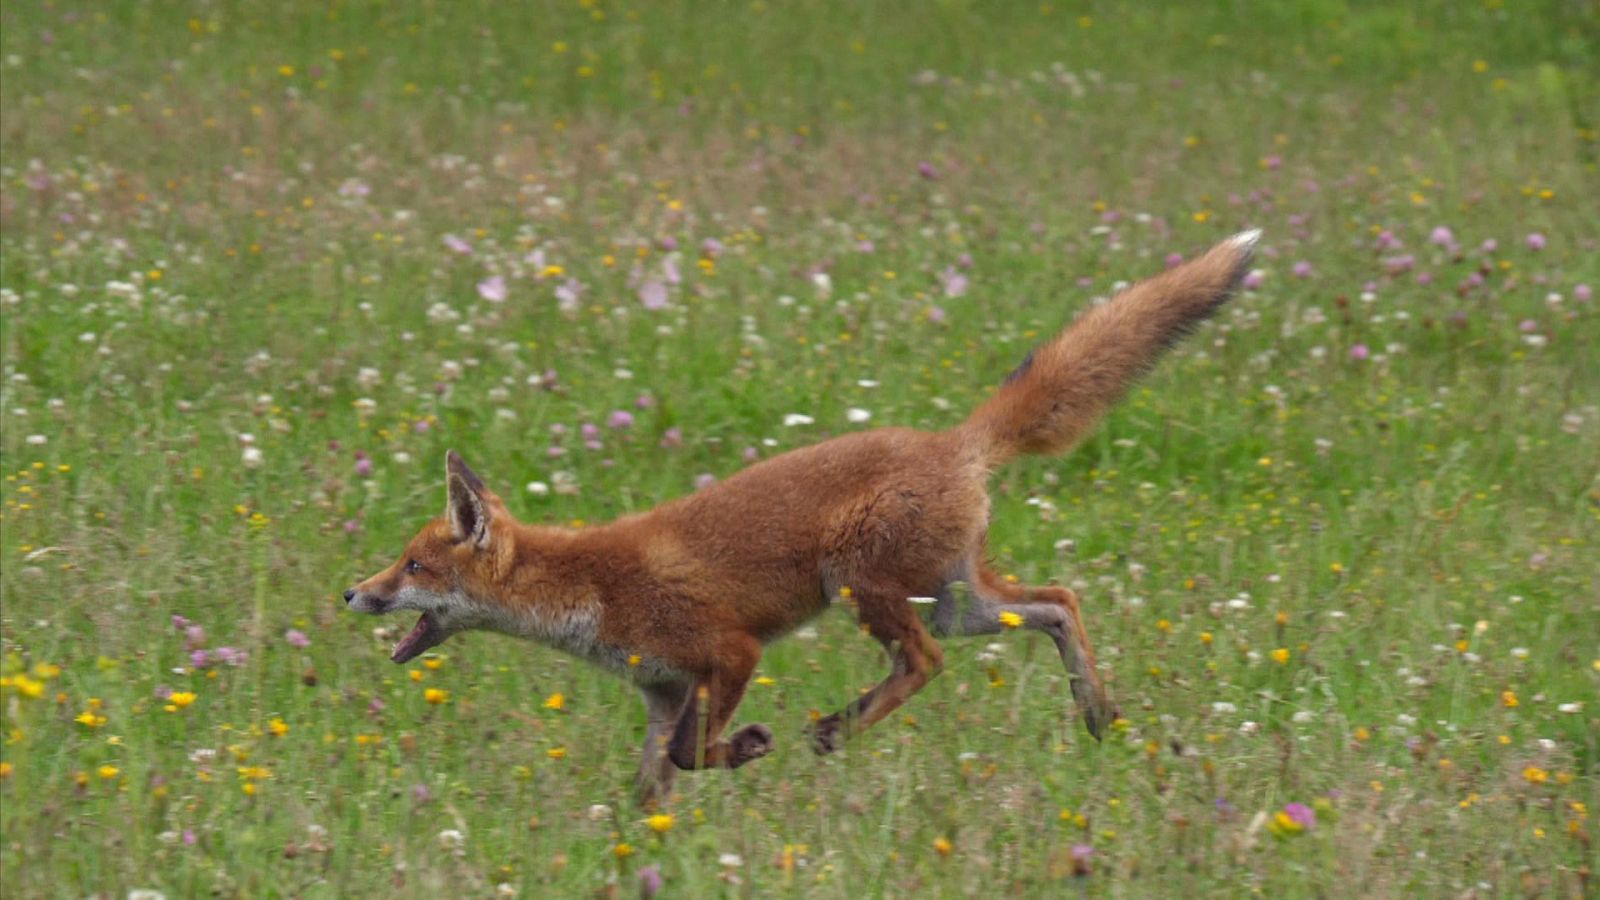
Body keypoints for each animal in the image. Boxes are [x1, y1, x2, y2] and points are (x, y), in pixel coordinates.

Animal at [347, 227, 1260, 800]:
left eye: (413, 565)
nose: (353, 593)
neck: (587, 591)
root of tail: (954, 440)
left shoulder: (728, 652)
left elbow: (694, 753)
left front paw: (749, 748)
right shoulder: (663, 692)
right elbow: (655, 780)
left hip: (866, 587)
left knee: (926, 661)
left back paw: (837, 729)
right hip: (961, 600)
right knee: (1059, 603)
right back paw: (1096, 713)